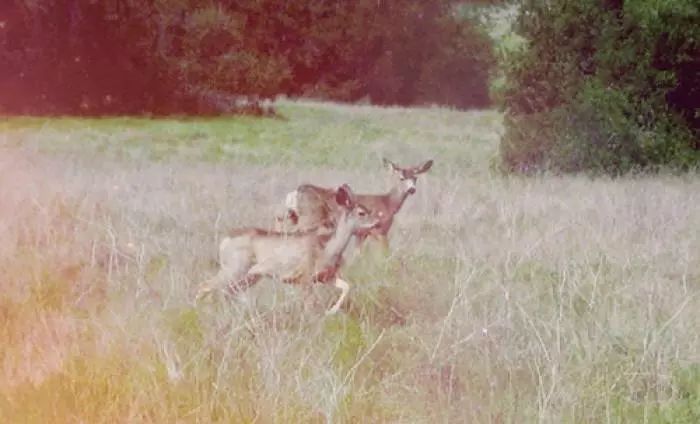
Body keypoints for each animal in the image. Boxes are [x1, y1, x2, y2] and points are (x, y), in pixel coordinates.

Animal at [194, 185, 380, 314]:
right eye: (362, 213)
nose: (377, 222)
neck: (327, 248)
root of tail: (224, 241)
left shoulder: (326, 277)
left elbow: (347, 286)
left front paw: (331, 311)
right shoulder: (305, 276)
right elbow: (310, 305)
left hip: (250, 275)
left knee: (226, 292)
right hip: (234, 268)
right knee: (205, 286)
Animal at [278, 157, 432, 250]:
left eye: (415, 178)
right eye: (401, 178)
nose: (412, 189)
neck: (388, 203)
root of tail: (295, 192)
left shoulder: (361, 234)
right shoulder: (380, 230)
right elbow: (385, 252)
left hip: (292, 217)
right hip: (309, 219)